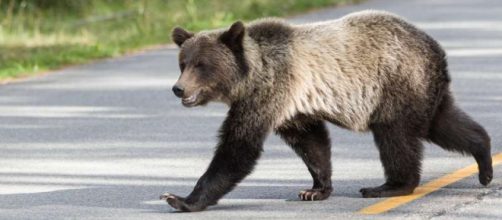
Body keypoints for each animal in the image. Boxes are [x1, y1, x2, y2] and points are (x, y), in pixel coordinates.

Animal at [162, 9, 494, 211]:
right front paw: (315, 189)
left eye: (201, 65)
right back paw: (485, 163)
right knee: (445, 123)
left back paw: (388, 186)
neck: (251, 76)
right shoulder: (292, 107)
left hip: (396, 82)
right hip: (422, 90)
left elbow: (238, 147)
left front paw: (180, 198)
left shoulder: (270, 91)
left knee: (396, 137)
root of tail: (436, 48)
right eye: (182, 63)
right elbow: (312, 144)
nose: (179, 88)